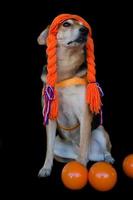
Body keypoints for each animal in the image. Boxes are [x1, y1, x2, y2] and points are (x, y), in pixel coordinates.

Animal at [37, 16, 114, 177]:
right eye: (66, 24)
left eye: (84, 26)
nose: (85, 30)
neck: (66, 69)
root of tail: (94, 156)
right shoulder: (50, 116)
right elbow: (48, 149)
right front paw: (46, 168)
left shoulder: (84, 115)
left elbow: (84, 144)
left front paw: (81, 169)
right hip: (59, 145)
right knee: (70, 155)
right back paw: (74, 161)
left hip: (100, 131)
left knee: (103, 150)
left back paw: (106, 158)